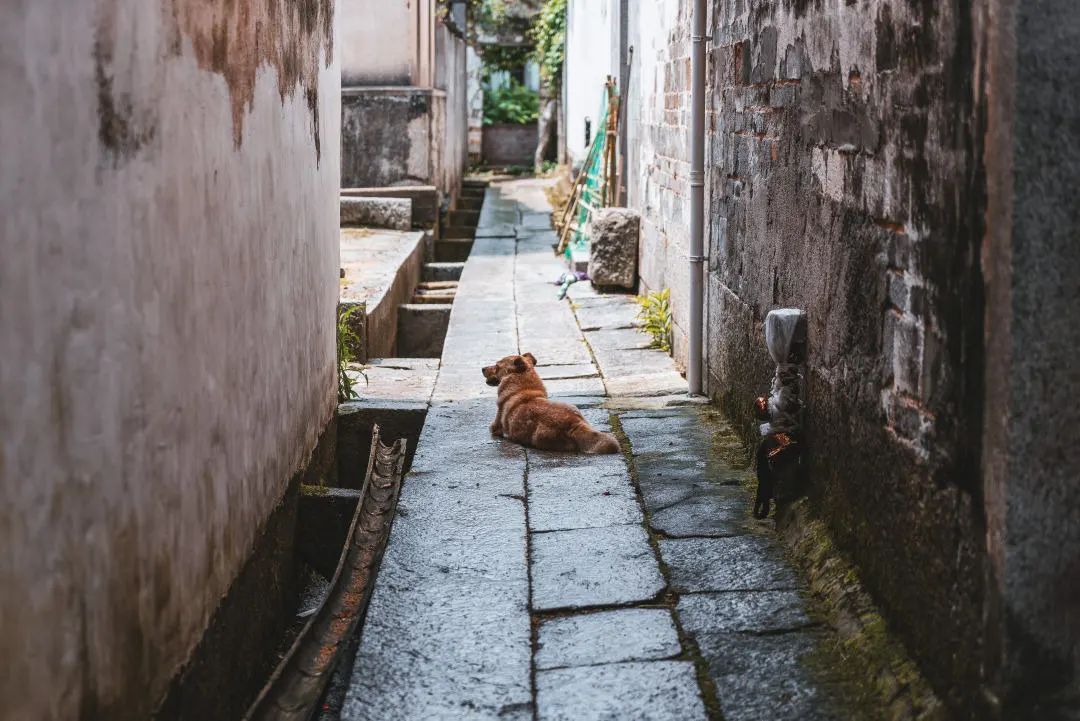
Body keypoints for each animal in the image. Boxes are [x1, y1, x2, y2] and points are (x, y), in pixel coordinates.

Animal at [479, 351, 617, 453]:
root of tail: (575, 424)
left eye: (497, 366)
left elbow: (493, 428)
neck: (522, 387)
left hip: (538, 437)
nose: (482, 368)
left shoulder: (495, 425)